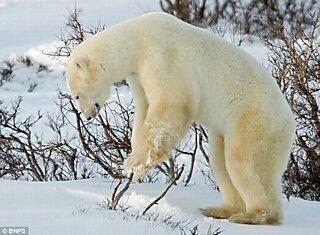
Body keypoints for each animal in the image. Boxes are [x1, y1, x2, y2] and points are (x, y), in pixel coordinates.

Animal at [66, 12, 296, 224]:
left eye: (76, 94)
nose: (87, 116)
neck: (137, 40)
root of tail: (289, 121)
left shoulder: (162, 56)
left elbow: (171, 102)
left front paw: (134, 165)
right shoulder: (138, 76)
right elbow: (144, 110)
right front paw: (134, 159)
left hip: (254, 120)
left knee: (244, 161)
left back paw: (253, 215)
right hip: (228, 129)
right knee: (220, 160)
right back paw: (220, 209)